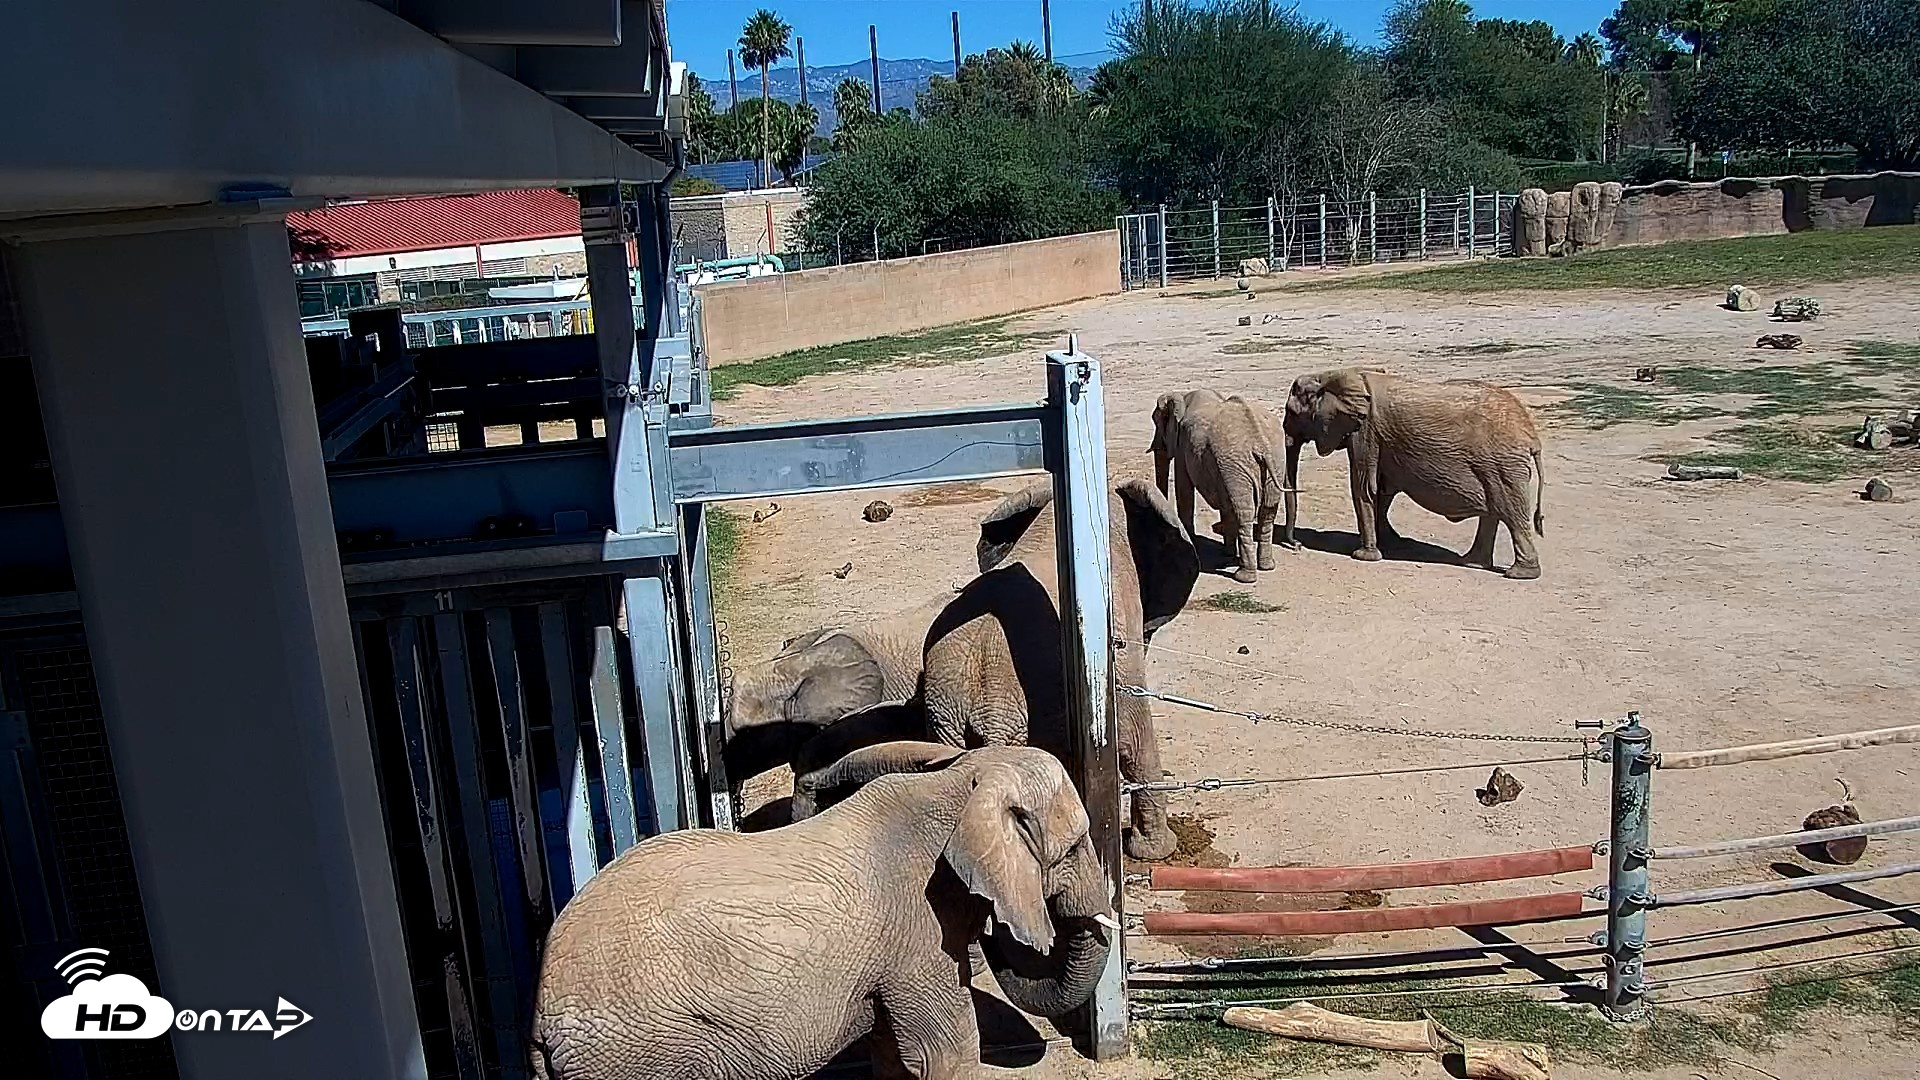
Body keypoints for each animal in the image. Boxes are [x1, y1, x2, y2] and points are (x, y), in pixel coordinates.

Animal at [529, 742, 1118, 1080]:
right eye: (1072, 850)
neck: (956, 781)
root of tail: (540, 1013)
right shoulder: (917, 933)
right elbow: (945, 1057)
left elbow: (896, 1056)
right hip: (639, 1049)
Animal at [1151, 388, 1290, 583]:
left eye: (1156, 422)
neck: (1183, 397)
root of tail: (1260, 443)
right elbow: (1224, 504)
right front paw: (1227, 554)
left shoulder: (1182, 446)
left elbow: (1184, 490)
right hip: (1273, 462)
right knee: (1267, 511)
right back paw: (1266, 566)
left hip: (1238, 466)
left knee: (1244, 513)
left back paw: (1244, 577)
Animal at [1281, 369, 1546, 579]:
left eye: (1292, 412)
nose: (1297, 545)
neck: (1334, 374)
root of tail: (1532, 436)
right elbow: (1382, 489)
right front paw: (1394, 543)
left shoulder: (1365, 432)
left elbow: (1364, 486)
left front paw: (1364, 556)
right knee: (1494, 513)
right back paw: (1473, 563)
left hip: (1502, 465)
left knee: (1511, 514)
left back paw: (1518, 574)